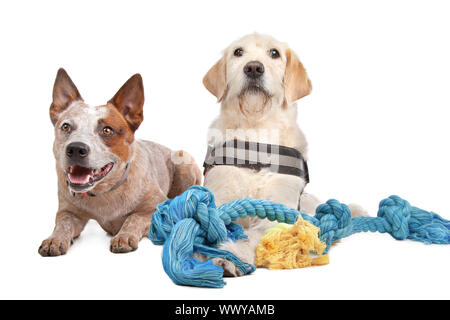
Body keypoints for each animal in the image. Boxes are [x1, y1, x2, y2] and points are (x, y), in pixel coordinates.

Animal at [202, 33, 364, 276]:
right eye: (238, 52)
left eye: (274, 53)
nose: (253, 68)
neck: (257, 138)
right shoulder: (220, 196)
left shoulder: (277, 210)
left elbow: (256, 236)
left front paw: (233, 256)